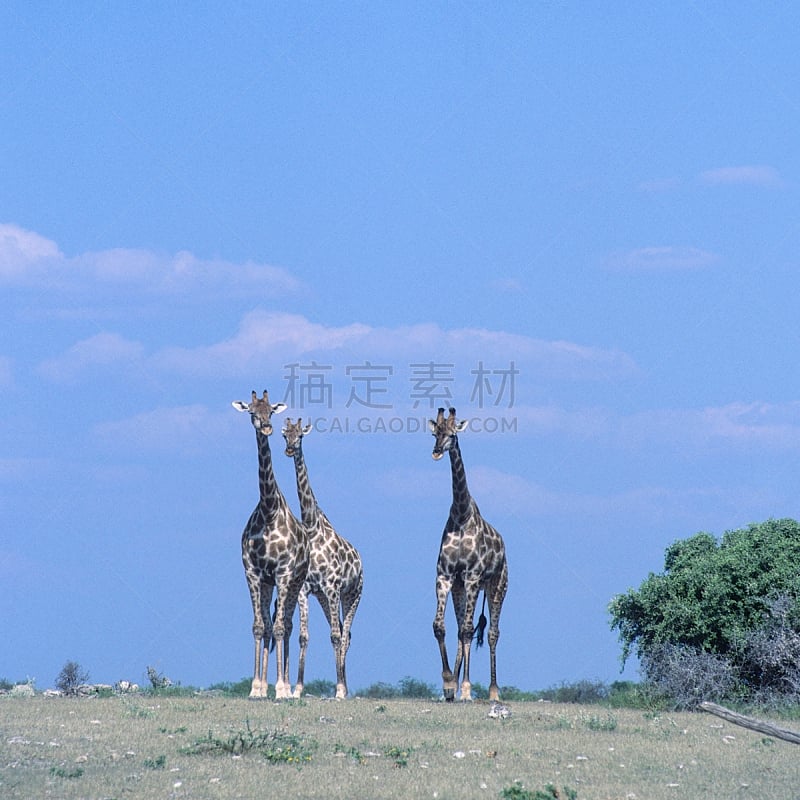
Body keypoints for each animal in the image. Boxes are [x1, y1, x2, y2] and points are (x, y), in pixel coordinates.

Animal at [233, 390, 310, 696]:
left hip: (296, 582)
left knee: (286, 625)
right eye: (253, 411)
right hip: (270, 584)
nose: (266, 428)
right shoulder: (254, 573)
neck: (268, 510)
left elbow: (278, 628)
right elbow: (259, 627)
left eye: (272, 412)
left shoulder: (284, 572)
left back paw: (287, 686)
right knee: (270, 624)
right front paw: (256, 688)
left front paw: (280, 689)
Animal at [282, 418, 362, 700]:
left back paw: (343, 688)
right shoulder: (306, 589)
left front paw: (338, 689)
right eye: (284, 434)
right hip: (327, 599)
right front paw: (297, 688)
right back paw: (345, 685)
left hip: (352, 595)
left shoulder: (332, 587)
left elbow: (336, 636)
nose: (290, 449)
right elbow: (304, 636)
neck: (311, 526)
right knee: (342, 631)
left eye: (300, 436)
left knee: (345, 634)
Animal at [432, 406, 506, 700]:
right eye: (435, 433)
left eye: (452, 434)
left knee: (492, 633)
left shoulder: (474, 576)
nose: (436, 451)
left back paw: (493, 690)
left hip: (497, 586)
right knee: (464, 629)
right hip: (461, 588)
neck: (461, 514)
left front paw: (464, 688)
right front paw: (448, 683)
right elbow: (441, 626)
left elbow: (467, 629)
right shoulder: (446, 576)